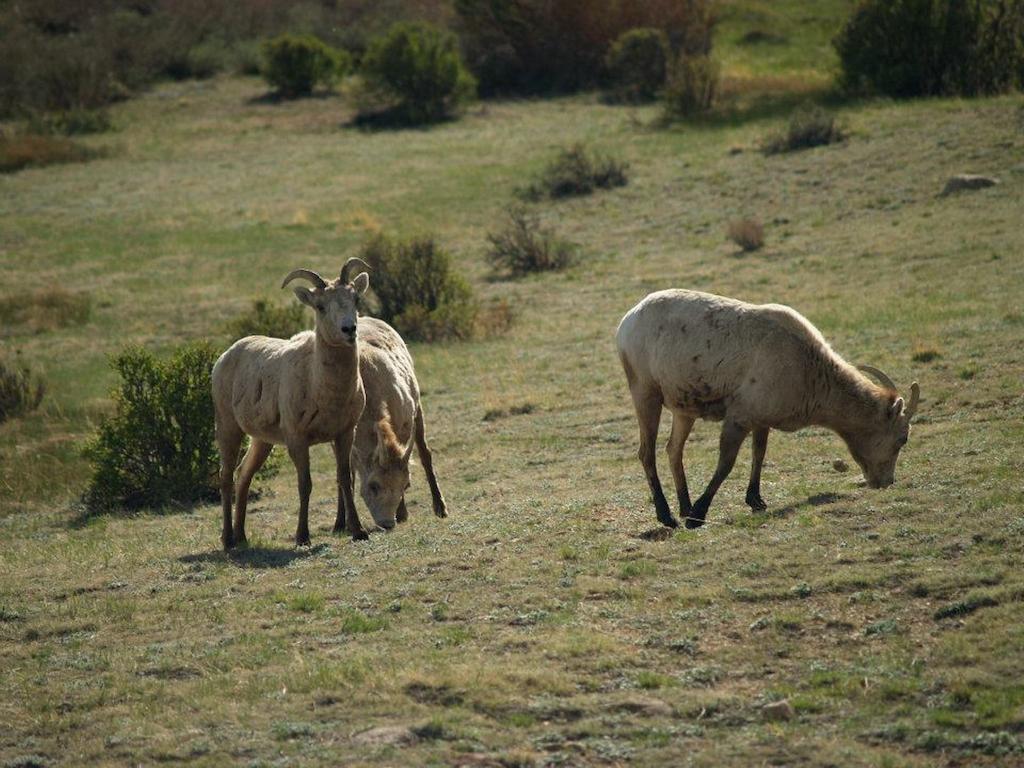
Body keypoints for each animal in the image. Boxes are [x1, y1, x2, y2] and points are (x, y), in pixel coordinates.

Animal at [214, 262, 374, 548]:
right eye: (320, 306)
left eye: (355, 299)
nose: (349, 329)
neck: (321, 386)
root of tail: (223, 357)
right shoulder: (297, 439)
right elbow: (305, 484)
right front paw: (302, 537)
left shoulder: (345, 433)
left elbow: (345, 479)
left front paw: (358, 531)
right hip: (228, 428)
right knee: (226, 476)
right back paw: (228, 539)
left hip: (261, 441)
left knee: (244, 474)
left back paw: (242, 537)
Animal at [354, 317, 446, 528]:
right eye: (373, 485)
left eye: (406, 485)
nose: (388, 523)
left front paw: (402, 513)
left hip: (418, 411)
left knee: (425, 454)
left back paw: (440, 508)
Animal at [614, 290, 921, 532]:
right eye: (902, 438)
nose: (885, 481)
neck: (809, 369)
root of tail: (627, 322)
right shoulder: (739, 416)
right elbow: (726, 463)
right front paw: (699, 516)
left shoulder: (761, 418)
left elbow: (759, 453)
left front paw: (755, 500)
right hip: (645, 392)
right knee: (647, 452)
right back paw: (668, 516)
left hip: (683, 409)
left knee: (673, 449)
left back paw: (684, 507)